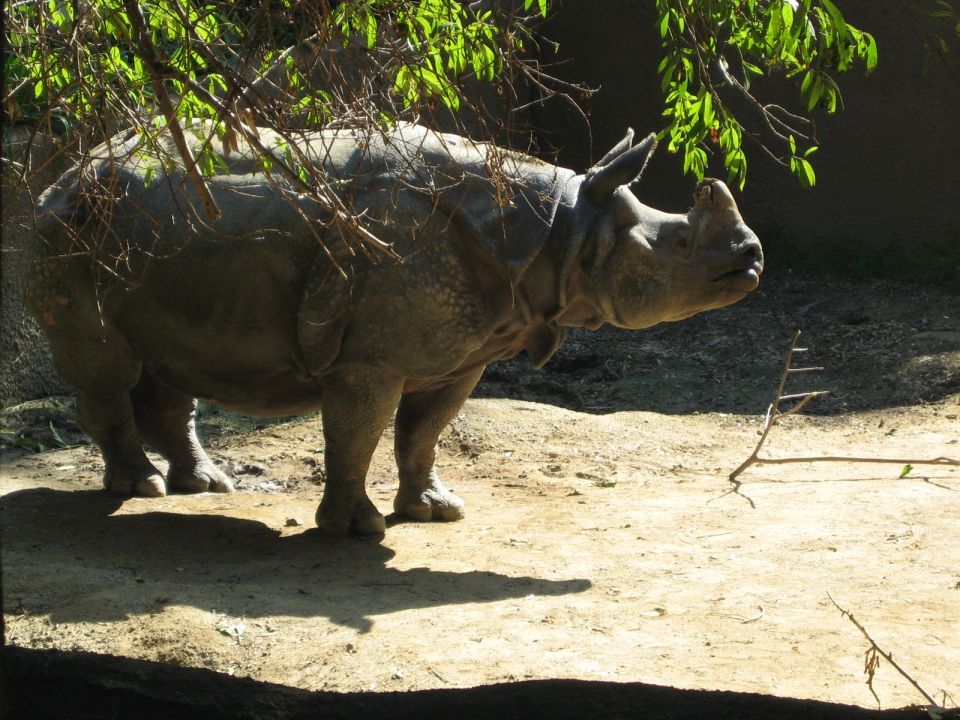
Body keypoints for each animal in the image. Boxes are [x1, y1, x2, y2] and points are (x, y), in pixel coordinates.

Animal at [27, 122, 762, 535]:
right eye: (678, 242)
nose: (752, 260)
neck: (565, 227)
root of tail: (64, 170)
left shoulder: (465, 350)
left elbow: (423, 432)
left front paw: (435, 510)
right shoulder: (370, 356)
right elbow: (358, 433)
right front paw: (358, 530)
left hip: (151, 236)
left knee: (166, 362)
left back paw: (204, 486)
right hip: (68, 226)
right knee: (108, 368)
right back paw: (138, 489)